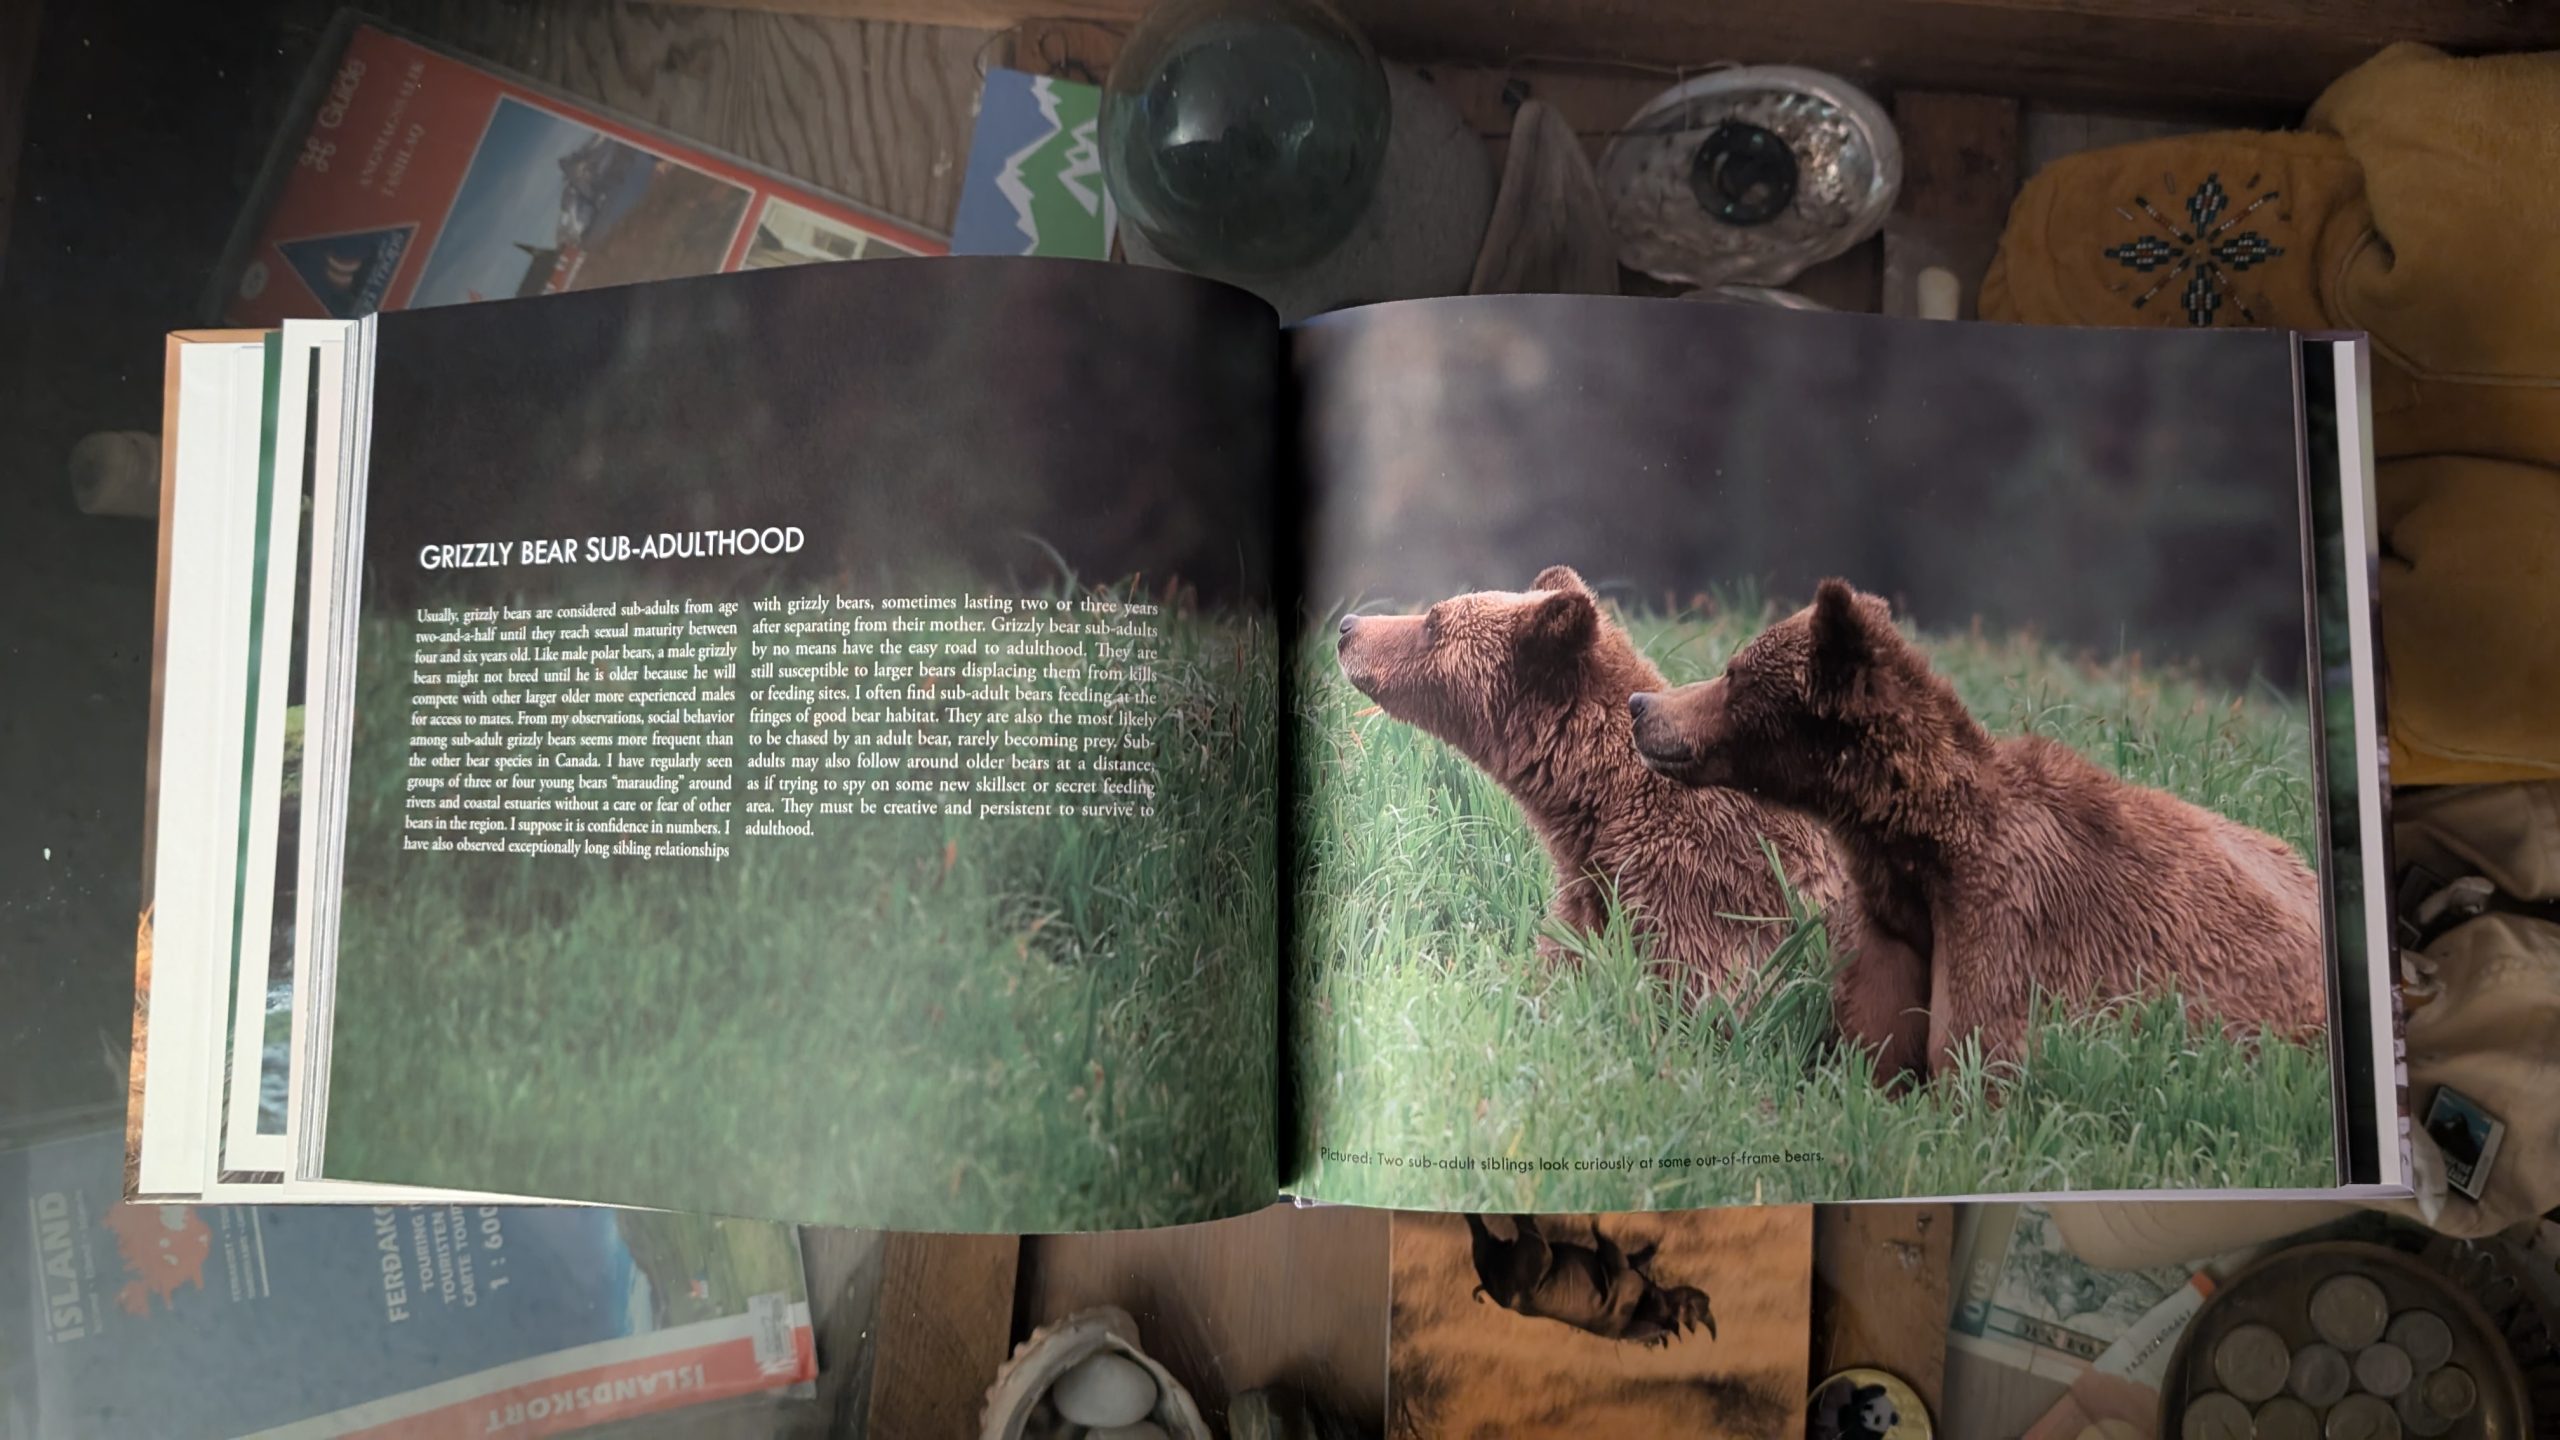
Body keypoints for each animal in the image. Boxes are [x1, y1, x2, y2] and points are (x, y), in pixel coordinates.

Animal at [1336, 565, 1928, 1065]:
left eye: (1434, 623)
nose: (1347, 626)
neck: (1597, 804)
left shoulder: (1705, 893)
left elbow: (1711, 1004)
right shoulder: (1588, 891)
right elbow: (1556, 966)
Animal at [1627, 578, 2326, 1074]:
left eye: (1733, 672)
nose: (1642, 706)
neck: (1919, 852)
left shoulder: (2003, 916)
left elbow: (1976, 1050)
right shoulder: (1892, 926)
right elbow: (1872, 1043)